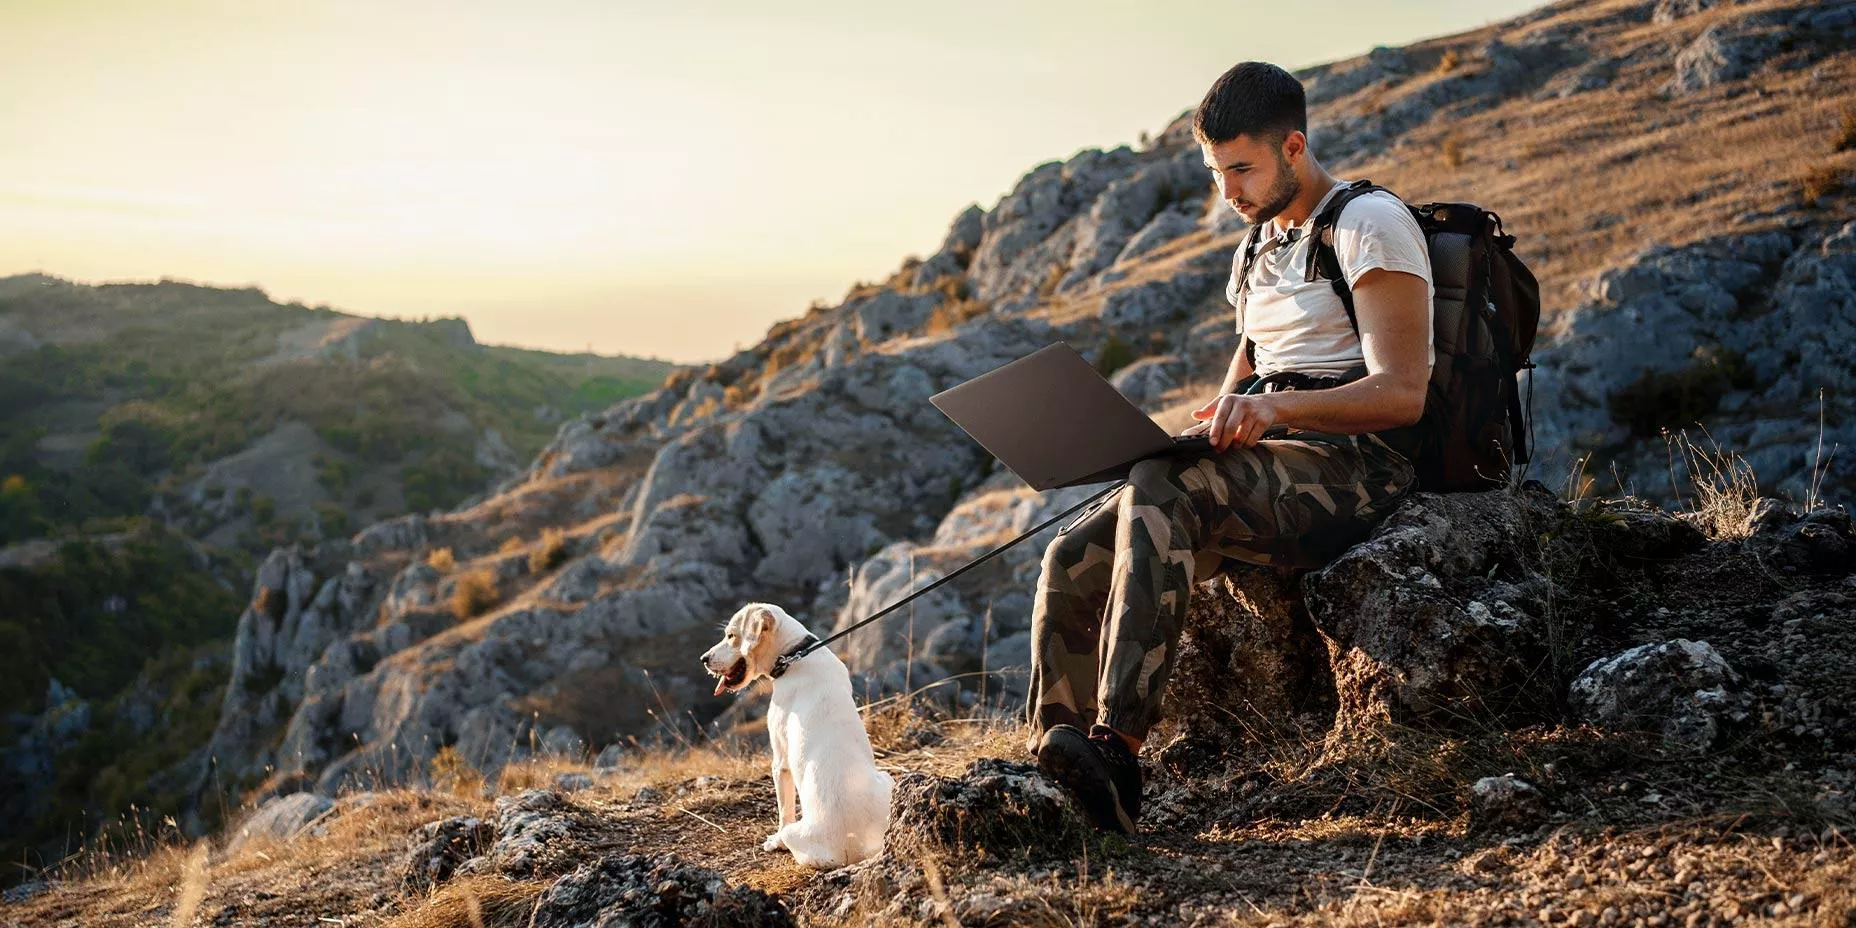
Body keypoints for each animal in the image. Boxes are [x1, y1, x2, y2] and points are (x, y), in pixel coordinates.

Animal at [697, 605, 894, 864]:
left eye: (731, 636)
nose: (704, 659)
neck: (794, 654)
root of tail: (857, 847)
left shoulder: (780, 763)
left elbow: (784, 811)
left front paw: (774, 841)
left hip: (796, 831)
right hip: (889, 780)